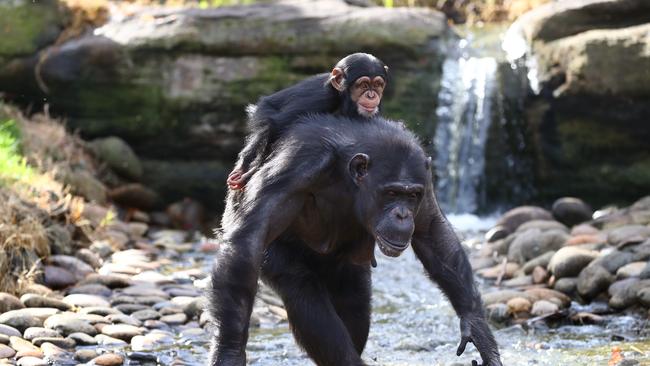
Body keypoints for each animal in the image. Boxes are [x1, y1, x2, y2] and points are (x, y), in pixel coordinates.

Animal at [209, 115, 502, 366]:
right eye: (392, 193)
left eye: (412, 196)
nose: (402, 214)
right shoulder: (295, 167)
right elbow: (249, 238)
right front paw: (229, 352)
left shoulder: (424, 173)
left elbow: (432, 232)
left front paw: (478, 328)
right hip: (277, 255)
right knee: (302, 290)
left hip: (349, 270)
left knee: (355, 302)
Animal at [225, 53, 388, 190]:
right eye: (363, 85)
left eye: (378, 85)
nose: (371, 95)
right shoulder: (321, 97)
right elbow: (277, 124)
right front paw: (250, 170)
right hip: (264, 109)